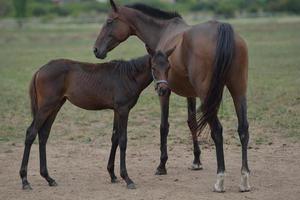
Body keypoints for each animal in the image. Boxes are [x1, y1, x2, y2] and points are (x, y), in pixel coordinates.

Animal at [19, 55, 154, 190]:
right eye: (156, 64)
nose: (160, 86)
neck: (128, 75)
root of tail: (40, 70)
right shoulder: (123, 110)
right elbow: (123, 140)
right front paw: (127, 178)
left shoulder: (117, 111)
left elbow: (115, 138)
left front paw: (112, 174)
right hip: (46, 106)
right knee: (31, 133)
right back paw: (25, 180)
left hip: (55, 106)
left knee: (43, 134)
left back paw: (48, 178)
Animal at [94, 0, 251, 193]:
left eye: (109, 21)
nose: (96, 50)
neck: (163, 32)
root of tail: (222, 28)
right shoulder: (191, 94)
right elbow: (192, 123)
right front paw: (196, 161)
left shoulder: (164, 92)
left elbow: (164, 126)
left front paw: (162, 165)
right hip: (238, 91)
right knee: (243, 129)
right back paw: (244, 179)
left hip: (208, 96)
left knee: (217, 131)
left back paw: (220, 179)